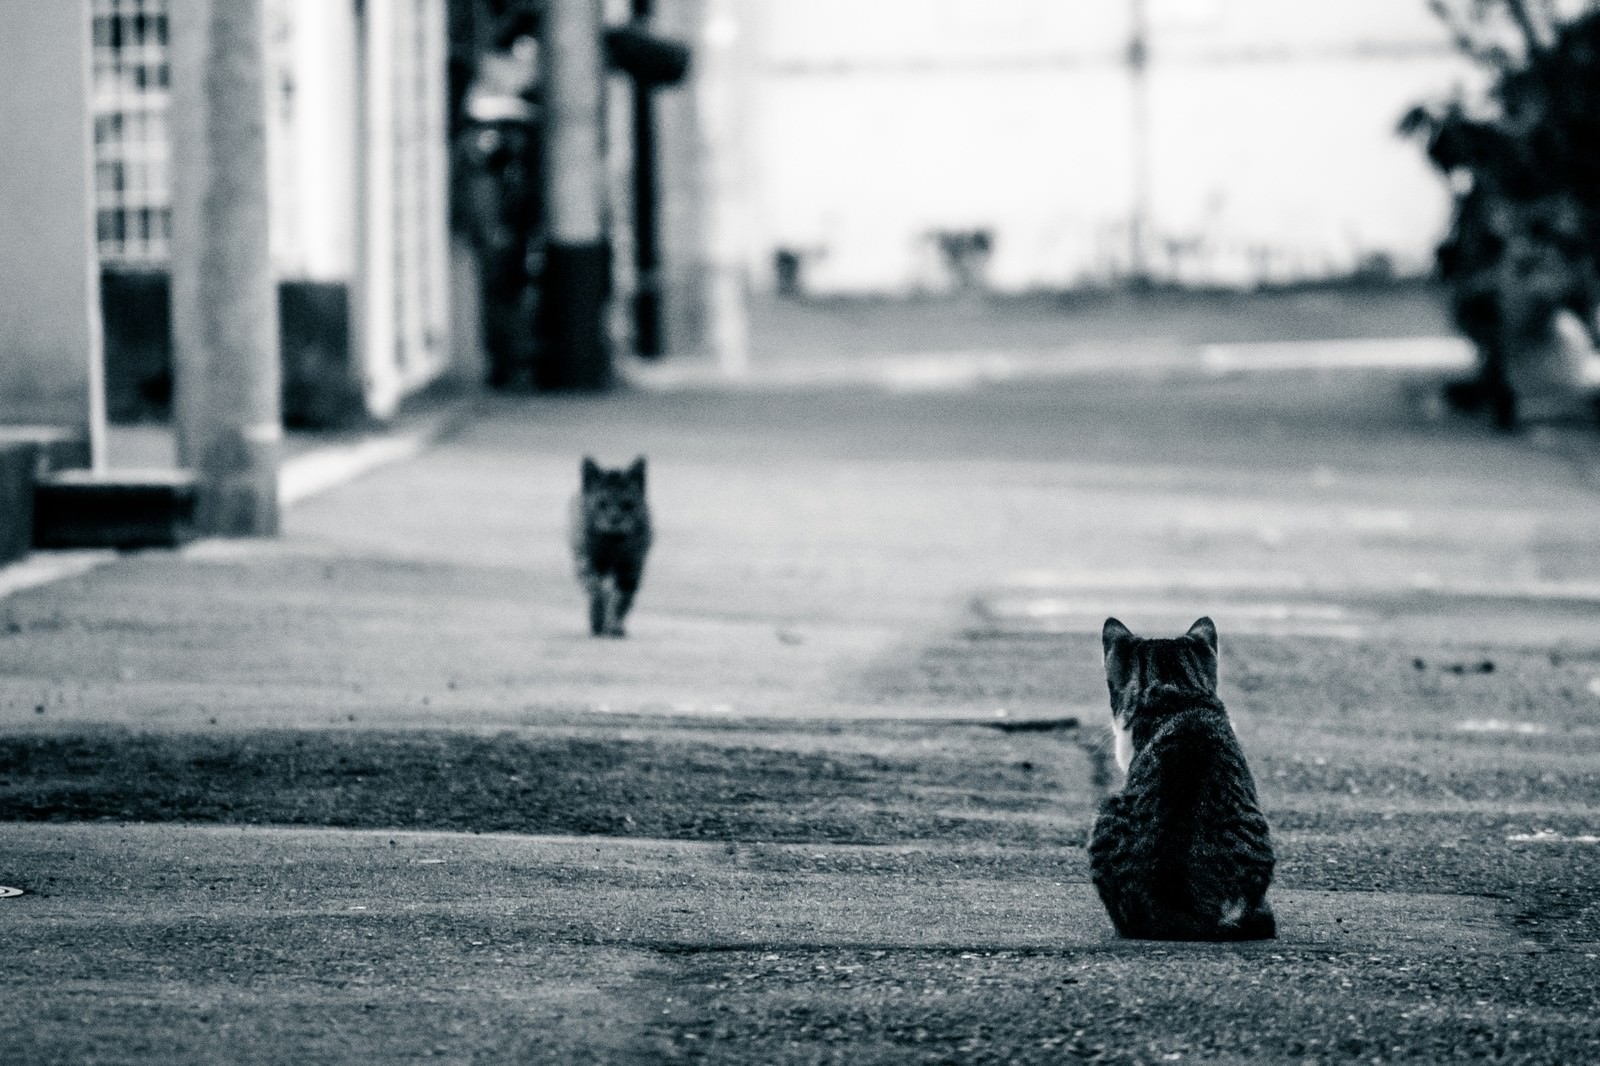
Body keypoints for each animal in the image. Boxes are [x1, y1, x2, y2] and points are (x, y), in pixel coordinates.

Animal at [572, 454, 652, 633]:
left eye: (628, 504)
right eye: (602, 504)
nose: (615, 519)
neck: (613, 542)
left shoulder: (631, 566)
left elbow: (622, 600)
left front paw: (615, 625)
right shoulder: (588, 560)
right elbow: (596, 590)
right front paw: (598, 615)